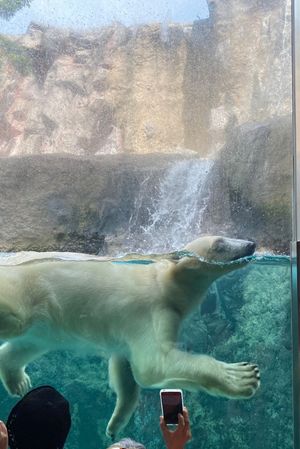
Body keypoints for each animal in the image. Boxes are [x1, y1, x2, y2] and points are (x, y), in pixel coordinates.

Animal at [0, 236, 258, 436]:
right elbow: (153, 365)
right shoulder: (152, 310)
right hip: (29, 290)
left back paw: (18, 381)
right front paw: (241, 377)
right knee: (16, 315)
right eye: (219, 244)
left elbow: (125, 371)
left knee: (26, 345)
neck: (166, 283)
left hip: (48, 324)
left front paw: (115, 425)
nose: (251, 244)